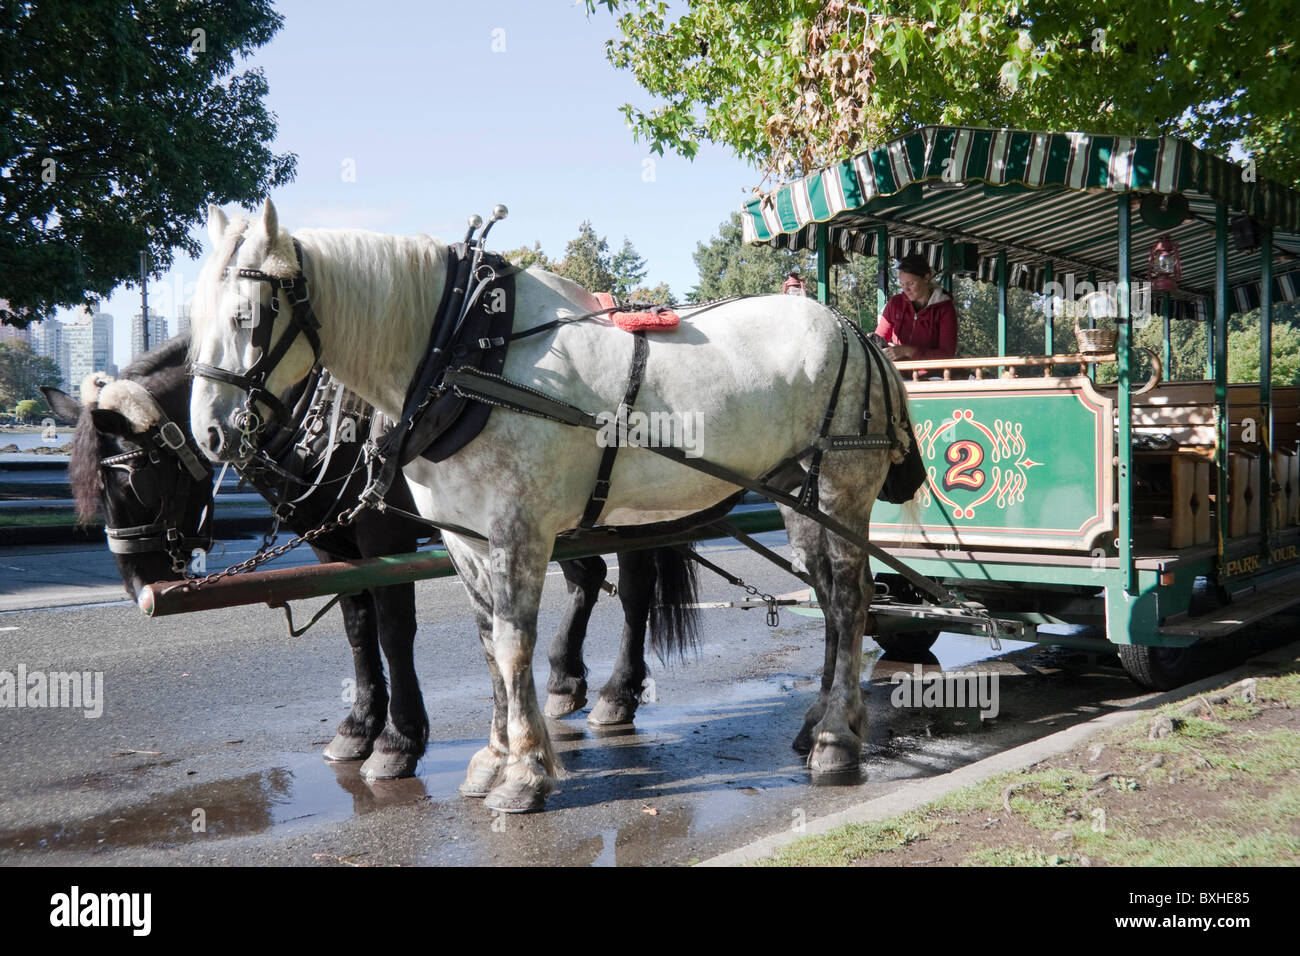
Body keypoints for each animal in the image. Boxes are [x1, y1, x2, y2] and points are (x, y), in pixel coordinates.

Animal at [189, 201, 915, 816]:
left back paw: (835, 742)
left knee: (848, 600)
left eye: (249, 316)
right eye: (193, 318)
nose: (210, 435)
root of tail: (852, 329)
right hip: (798, 497)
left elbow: (514, 644)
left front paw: (524, 773)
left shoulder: (519, 530)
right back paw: (820, 723)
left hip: (841, 489)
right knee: (830, 599)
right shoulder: (467, 537)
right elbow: (489, 643)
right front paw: (493, 760)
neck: (466, 355)